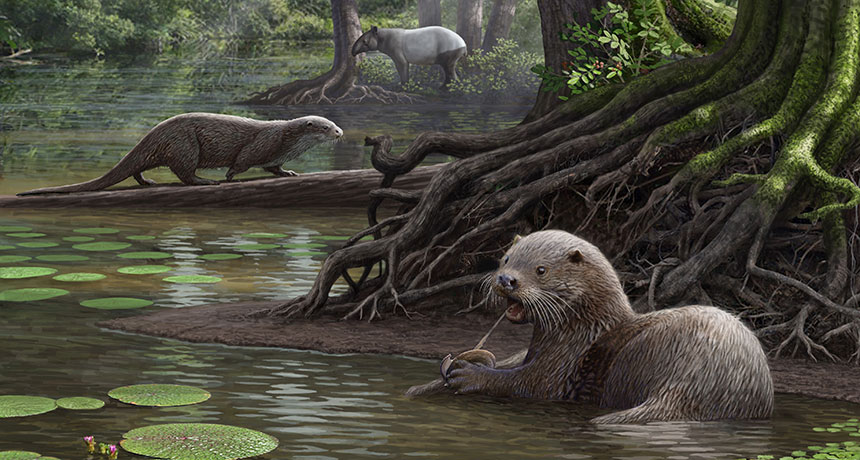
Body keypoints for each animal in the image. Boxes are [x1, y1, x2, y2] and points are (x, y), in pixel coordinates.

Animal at [18, 113, 343, 195]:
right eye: (326, 127)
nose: (340, 132)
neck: (287, 139)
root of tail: (152, 134)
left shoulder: (275, 155)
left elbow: (274, 168)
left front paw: (288, 172)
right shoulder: (263, 143)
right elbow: (242, 161)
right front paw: (229, 176)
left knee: (138, 169)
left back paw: (147, 182)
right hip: (184, 145)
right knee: (184, 173)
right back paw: (206, 181)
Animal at [438, 230, 773, 424]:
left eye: (541, 269)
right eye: (506, 258)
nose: (506, 279)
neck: (585, 327)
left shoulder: (563, 364)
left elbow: (530, 384)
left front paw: (470, 374)